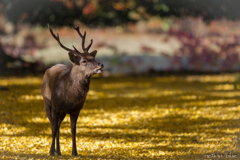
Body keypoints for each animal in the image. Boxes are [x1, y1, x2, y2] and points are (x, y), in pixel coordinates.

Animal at [41, 24, 103, 156]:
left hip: (63, 112)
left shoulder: (76, 109)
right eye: (84, 60)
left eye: (93, 57)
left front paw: (75, 152)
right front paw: (51, 151)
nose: (101, 65)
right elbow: (54, 128)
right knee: (53, 125)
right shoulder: (56, 106)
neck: (69, 96)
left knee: (58, 125)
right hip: (47, 102)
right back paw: (55, 151)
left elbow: (73, 130)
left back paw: (59, 151)